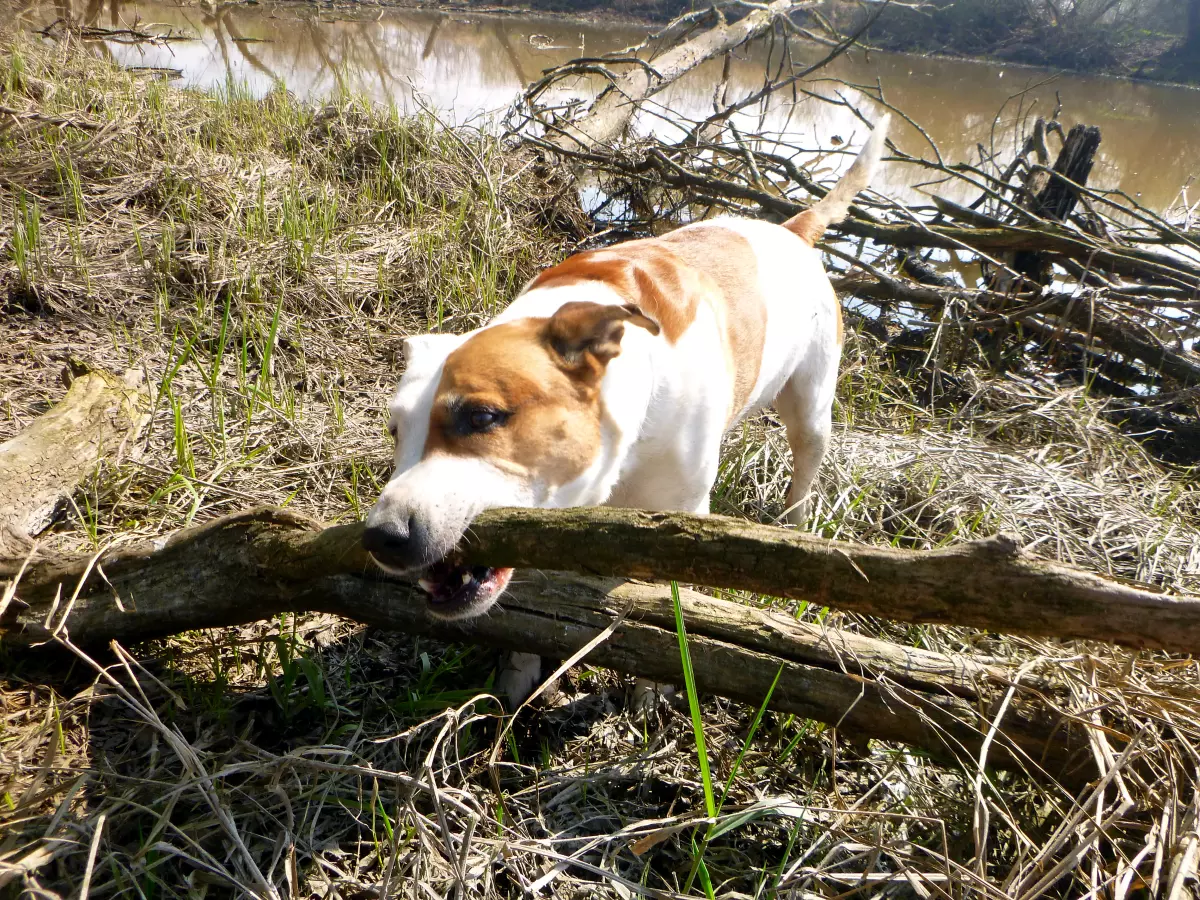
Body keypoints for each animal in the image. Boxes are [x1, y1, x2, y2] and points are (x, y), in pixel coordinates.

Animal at [364, 111, 892, 705]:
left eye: (481, 417)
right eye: (395, 432)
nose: (380, 536)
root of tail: (792, 228)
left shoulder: (680, 516)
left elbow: (666, 606)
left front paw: (651, 688)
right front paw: (516, 680)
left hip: (812, 403)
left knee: (805, 460)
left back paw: (794, 523)